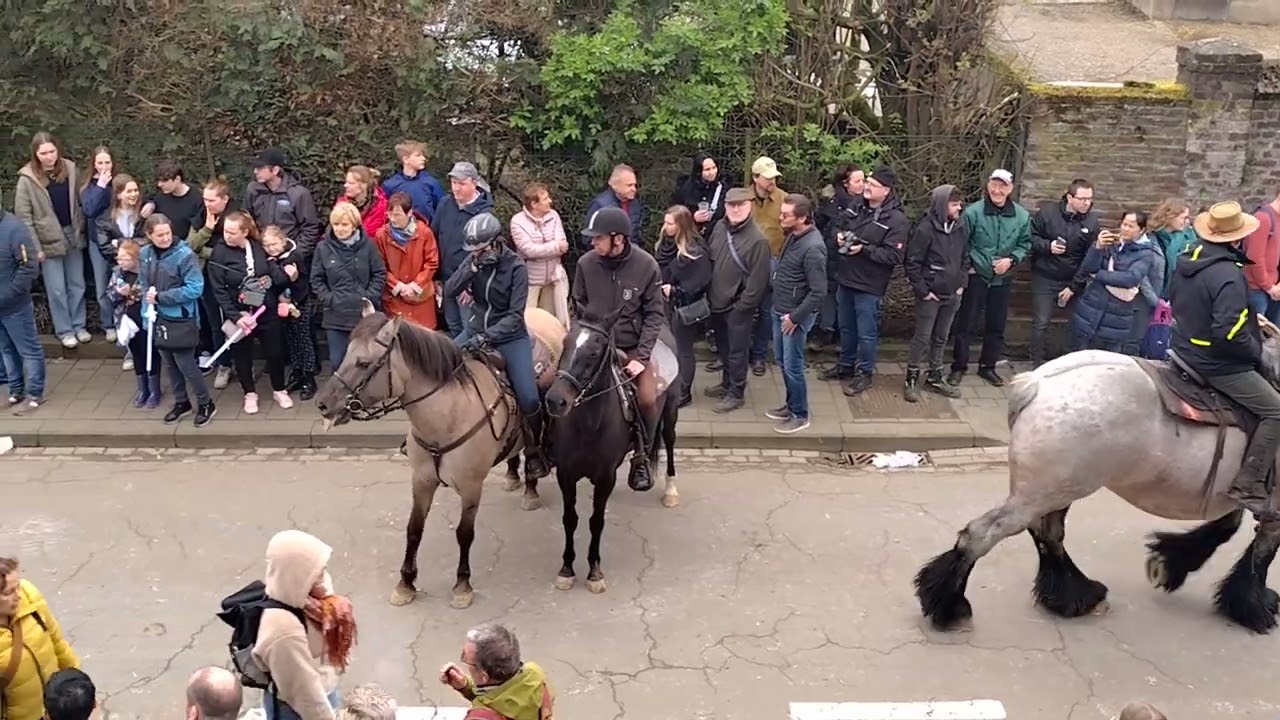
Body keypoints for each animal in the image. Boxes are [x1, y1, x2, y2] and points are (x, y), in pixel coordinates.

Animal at [315, 299, 537, 610]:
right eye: (346, 355)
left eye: (364, 363)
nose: (322, 403)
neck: (447, 417)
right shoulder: (421, 481)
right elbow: (414, 529)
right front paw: (406, 583)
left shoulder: (471, 487)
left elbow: (464, 533)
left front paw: (462, 584)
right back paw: (512, 475)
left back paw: (531, 488)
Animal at [541, 306, 680, 593]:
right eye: (565, 343)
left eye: (594, 352)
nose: (555, 401)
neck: (588, 423)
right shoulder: (566, 473)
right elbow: (570, 518)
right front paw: (566, 569)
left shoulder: (604, 476)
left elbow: (596, 521)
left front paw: (594, 572)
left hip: (671, 410)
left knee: (669, 443)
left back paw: (670, 490)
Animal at [914, 325, 1280, 635]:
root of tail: (1037, 384)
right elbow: (1263, 551)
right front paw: (1254, 607)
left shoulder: (1236, 496)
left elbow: (1227, 529)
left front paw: (1169, 562)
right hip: (1045, 492)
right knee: (983, 534)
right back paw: (951, 606)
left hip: (1056, 488)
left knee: (1048, 533)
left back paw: (1074, 595)